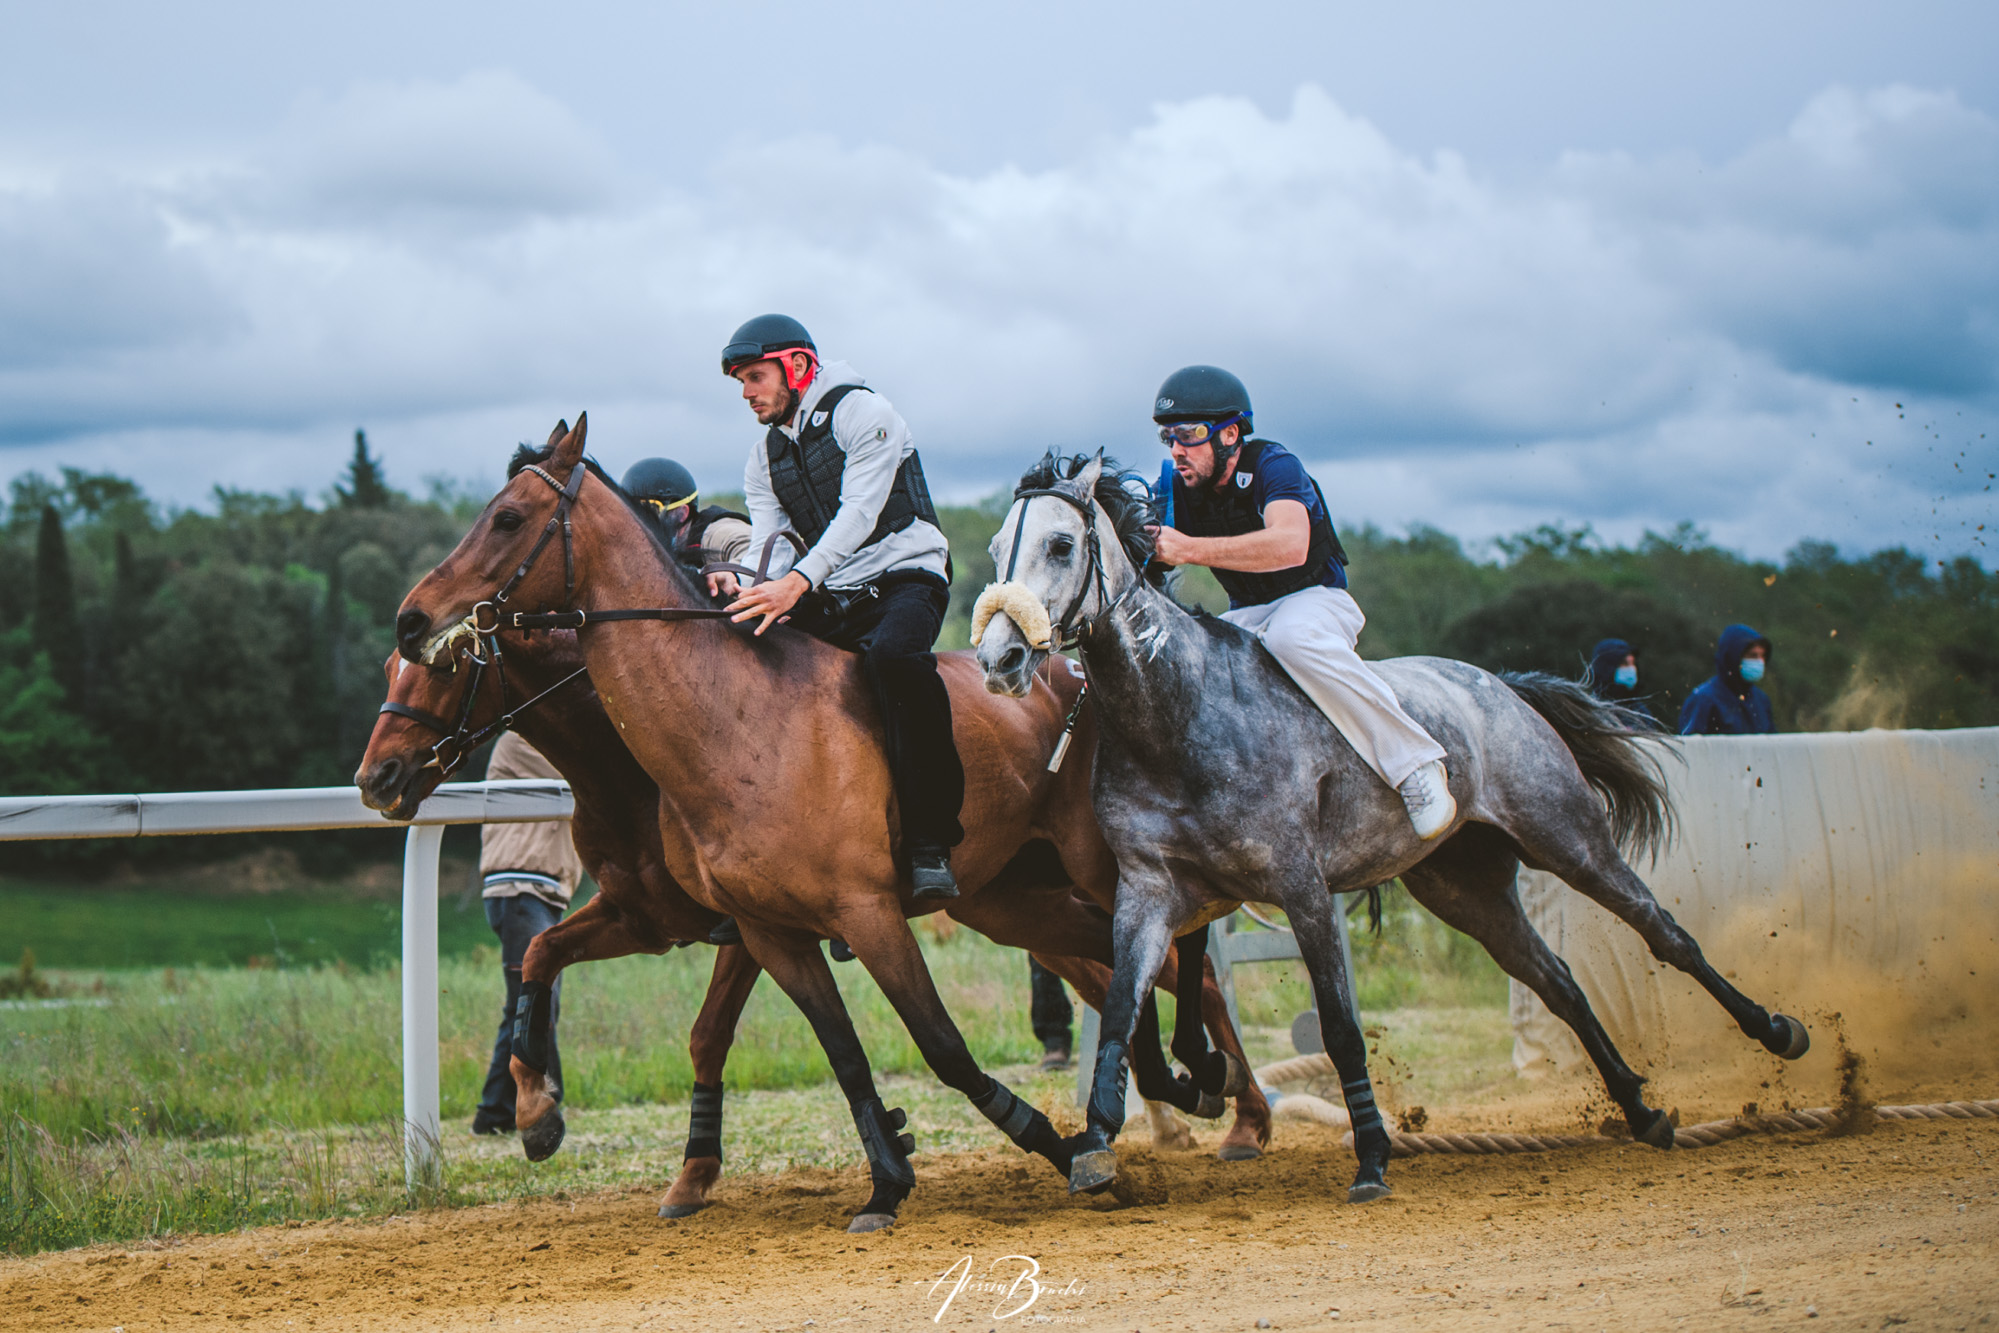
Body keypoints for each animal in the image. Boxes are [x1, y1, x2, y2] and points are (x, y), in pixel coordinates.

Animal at [389, 417, 1263, 1231]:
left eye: (506, 517)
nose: (411, 619)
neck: (733, 721)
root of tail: (1076, 670)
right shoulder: (762, 928)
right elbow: (837, 1053)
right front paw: (886, 1178)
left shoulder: (864, 912)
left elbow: (941, 1045)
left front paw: (1054, 1142)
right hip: (1012, 898)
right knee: (1120, 966)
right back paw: (1181, 1081)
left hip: (1094, 863)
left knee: (1175, 953)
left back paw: (1213, 1085)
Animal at [967, 453, 1815, 1207]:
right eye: (995, 547)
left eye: (1061, 544)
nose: (999, 657)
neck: (1175, 715)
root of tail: (1499, 685)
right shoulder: (1148, 893)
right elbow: (1119, 1012)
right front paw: (1095, 1146)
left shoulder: (1302, 889)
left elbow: (1341, 1028)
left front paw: (1371, 1158)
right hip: (1463, 888)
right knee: (1558, 981)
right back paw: (1639, 1108)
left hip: (1567, 838)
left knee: (1664, 933)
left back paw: (1776, 1032)